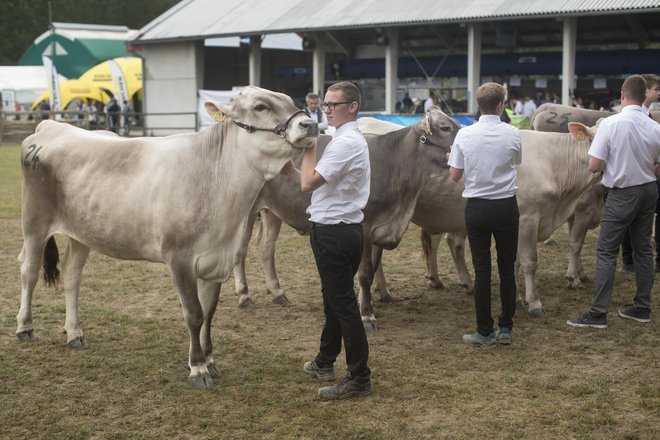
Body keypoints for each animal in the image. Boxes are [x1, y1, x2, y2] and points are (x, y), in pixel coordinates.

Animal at [14, 86, 316, 388]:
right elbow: (193, 313)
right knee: (29, 271)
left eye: (290, 101)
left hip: (81, 232)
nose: (310, 124)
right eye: (260, 106)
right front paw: (198, 368)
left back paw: (75, 333)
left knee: (71, 275)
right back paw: (24, 326)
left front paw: (210, 361)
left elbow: (209, 312)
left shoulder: (215, 259)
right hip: (34, 222)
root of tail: (51, 126)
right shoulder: (179, 257)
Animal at [231, 107, 458, 330]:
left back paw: (277, 292)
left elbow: (371, 270)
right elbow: (365, 273)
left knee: (266, 246)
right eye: (445, 127)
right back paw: (244, 295)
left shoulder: (381, 228)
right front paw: (367, 315)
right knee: (240, 250)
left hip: (272, 211)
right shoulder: (364, 227)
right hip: (246, 211)